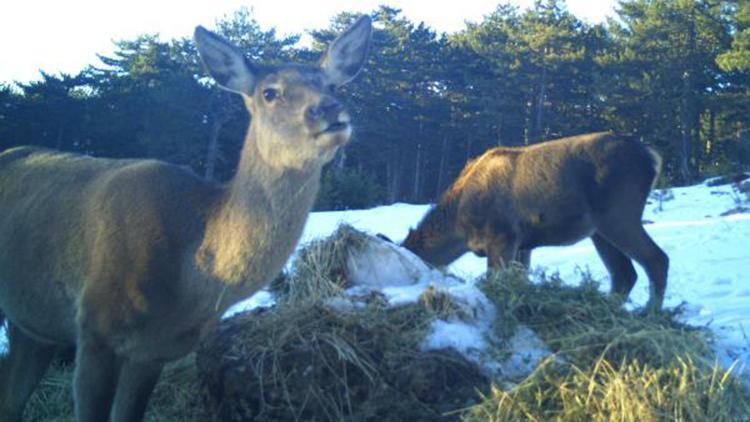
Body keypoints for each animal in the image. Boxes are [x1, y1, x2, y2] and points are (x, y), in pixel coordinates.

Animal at [0, 16, 374, 422]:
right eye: (269, 92)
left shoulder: (155, 352)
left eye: (332, 84)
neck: (187, 284)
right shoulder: (96, 326)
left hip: (33, 322)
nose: (330, 109)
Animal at [406, 132, 668, 310]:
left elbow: (496, 280)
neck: (460, 227)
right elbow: (520, 279)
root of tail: (652, 157)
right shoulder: (524, 244)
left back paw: (651, 313)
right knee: (624, 274)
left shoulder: (503, 236)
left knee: (657, 259)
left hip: (618, 216)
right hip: (599, 232)